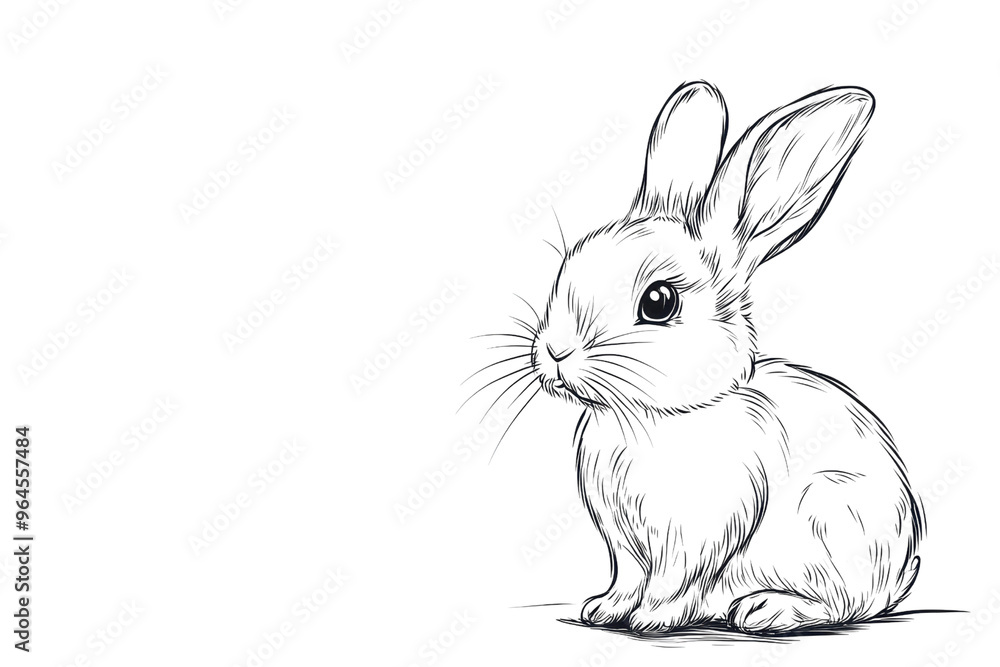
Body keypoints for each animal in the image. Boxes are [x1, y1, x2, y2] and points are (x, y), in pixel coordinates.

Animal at [525, 82, 924, 635]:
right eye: (567, 268)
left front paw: (653, 619)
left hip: (829, 521)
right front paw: (605, 609)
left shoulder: (699, 533)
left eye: (659, 302)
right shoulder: (624, 544)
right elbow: (627, 576)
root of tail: (901, 570)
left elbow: (675, 580)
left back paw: (767, 610)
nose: (556, 352)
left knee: (845, 605)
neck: (654, 418)